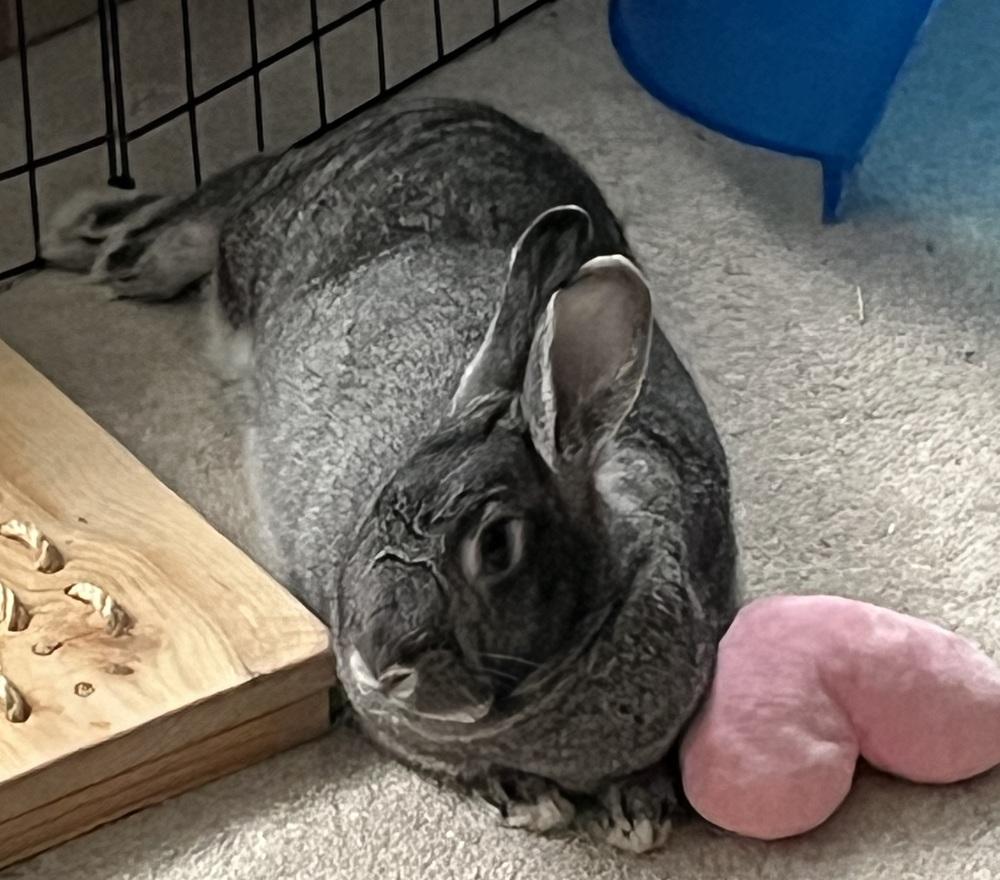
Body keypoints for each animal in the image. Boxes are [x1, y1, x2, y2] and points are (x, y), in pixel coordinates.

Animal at [47, 98, 738, 852]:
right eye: (380, 501)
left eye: (497, 545)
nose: (376, 665)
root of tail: (423, 109)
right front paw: (532, 798)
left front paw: (637, 811)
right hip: (258, 255)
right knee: (216, 211)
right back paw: (107, 246)